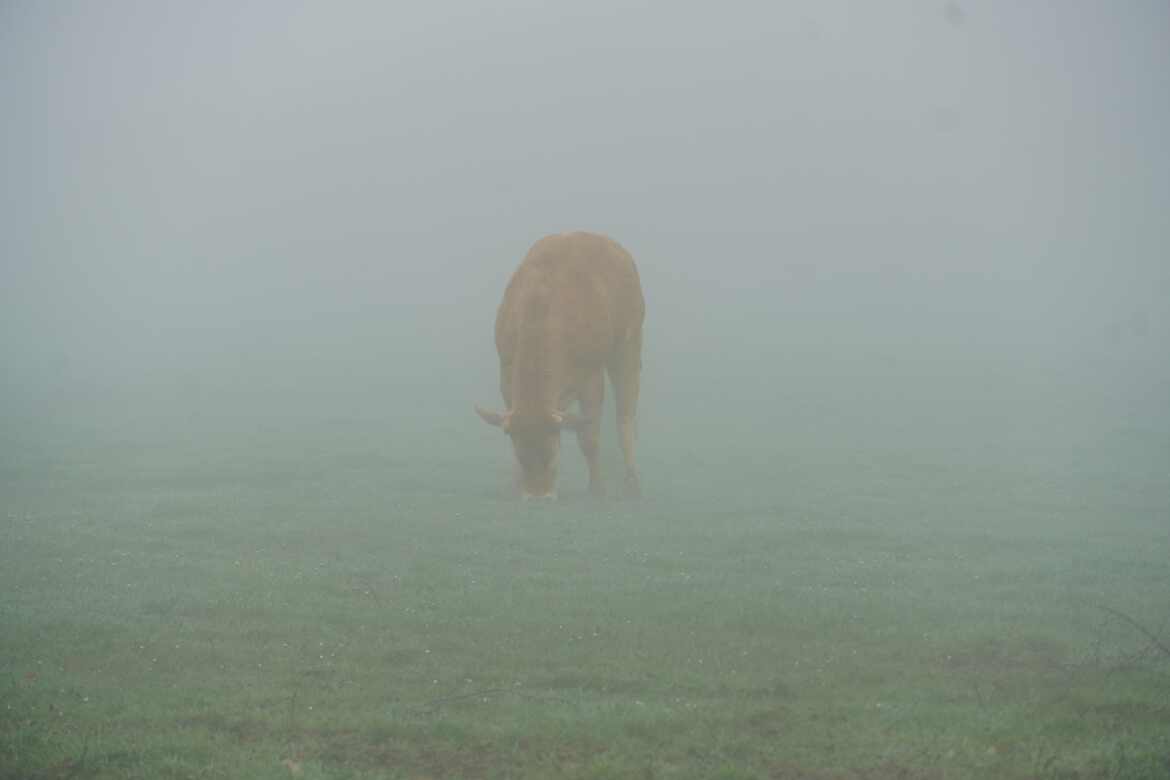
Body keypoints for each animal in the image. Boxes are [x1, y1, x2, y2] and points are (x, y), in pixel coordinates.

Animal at [475, 231, 645, 500]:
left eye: (551, 455)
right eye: (522, 456)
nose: (537, 496)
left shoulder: (591, 377)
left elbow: (589, 438)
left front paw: (597, 489)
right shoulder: (506, 374)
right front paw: (514, 485)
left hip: (628, 345)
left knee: (625, 415)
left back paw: (632, 483)